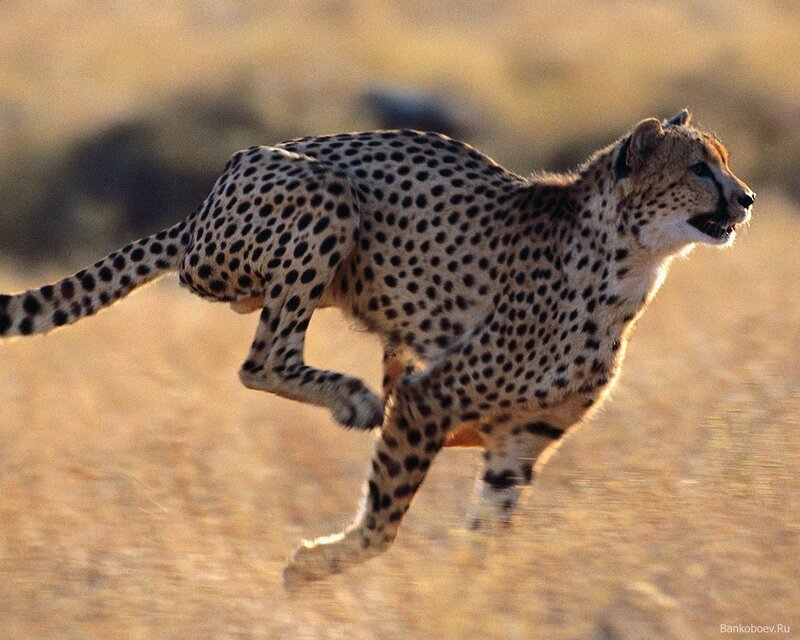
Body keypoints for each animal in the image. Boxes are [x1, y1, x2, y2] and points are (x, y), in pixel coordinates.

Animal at [0, 109, 754, 585]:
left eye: (723, 163)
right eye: (698, 168)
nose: (746, 198)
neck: (630, 263)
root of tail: (198, 211)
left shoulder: (521, 440)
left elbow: (487, 533)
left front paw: (473, 593)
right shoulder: (430, 399)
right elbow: (386, 520)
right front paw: (314, 564)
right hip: (320, 195)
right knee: (262, 359)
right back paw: (352, 398)